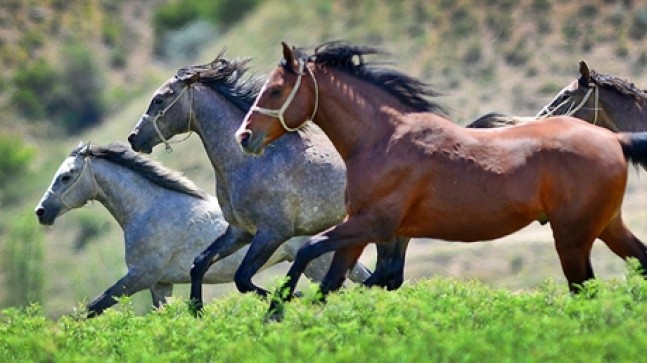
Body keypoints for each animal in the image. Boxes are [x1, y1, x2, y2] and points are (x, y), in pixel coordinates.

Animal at [35, 143, 370, 318]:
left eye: (66, 177)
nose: (41, 212)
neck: (149, 209)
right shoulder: (160, 285)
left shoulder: (139, 276)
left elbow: (94, 307)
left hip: (316, 264)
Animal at [126, 55, 408, 312]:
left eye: (159, 99)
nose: (133, 138)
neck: (250, 161)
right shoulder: (240, 232)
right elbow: (200, 264)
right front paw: (197, 312)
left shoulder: (272, 233)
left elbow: (242, 279)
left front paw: (292, 298)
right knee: (390, 274)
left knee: (387, 274)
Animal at [235, 41, 647, 318]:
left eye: (274, 89)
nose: (244, 136)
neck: (383, 138)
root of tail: (614, 140)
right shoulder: (370, 231)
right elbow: (342, 282)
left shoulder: (371, 223)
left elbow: (310, 252)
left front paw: (276, 311)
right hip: (606, 226)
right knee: (638, 261)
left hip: (573, 237)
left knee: (585, 290)